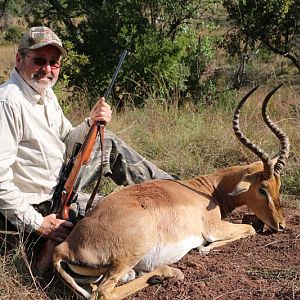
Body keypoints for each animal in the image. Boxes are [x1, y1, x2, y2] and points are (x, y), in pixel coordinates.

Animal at [52, 85, 290, 300]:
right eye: (262, 188)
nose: (281, 225)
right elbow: (249, 229)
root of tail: (64, 246)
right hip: (133, 251)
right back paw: (167, 273)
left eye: (278, 186)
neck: (207, 189)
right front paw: (205, 248)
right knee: (105, 292)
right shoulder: (213, 228)